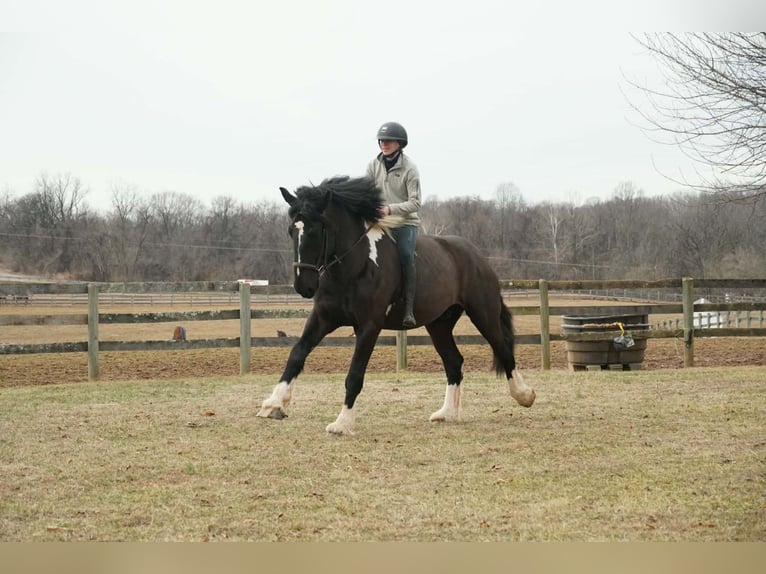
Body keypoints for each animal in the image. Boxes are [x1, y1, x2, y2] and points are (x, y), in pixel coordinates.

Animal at [256, 176, 535, 435]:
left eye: (315, 230)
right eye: (291, 230)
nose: (303, 286)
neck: (355, 265)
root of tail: (476, 255)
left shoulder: (369, 326)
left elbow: (354, 374)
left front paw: (342, 423)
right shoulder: (323, 318)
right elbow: (297, 354)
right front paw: (273, 404)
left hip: (483, 314)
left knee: (503, 350)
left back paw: (524, 395)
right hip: (439, 324)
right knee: (454, 362)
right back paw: (447, 414)